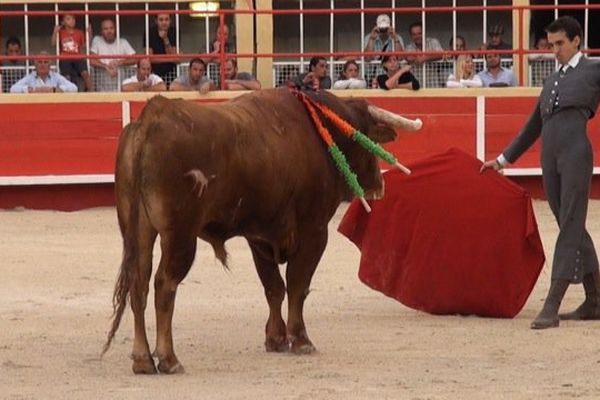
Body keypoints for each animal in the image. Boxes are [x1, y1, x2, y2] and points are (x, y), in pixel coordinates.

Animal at [103, 88, 422, 376]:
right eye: (368, 141)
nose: (378, 185)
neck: (320, 132)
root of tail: (151, 118)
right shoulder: (315, 231)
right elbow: (297, 285)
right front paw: (300, 340)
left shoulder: (259, 237)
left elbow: (273, 287)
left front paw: (276, 339)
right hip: (180, 234)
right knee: (164, 285)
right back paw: (169, 359)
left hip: (137, 231)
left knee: (138, 284)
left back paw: (142, 360)